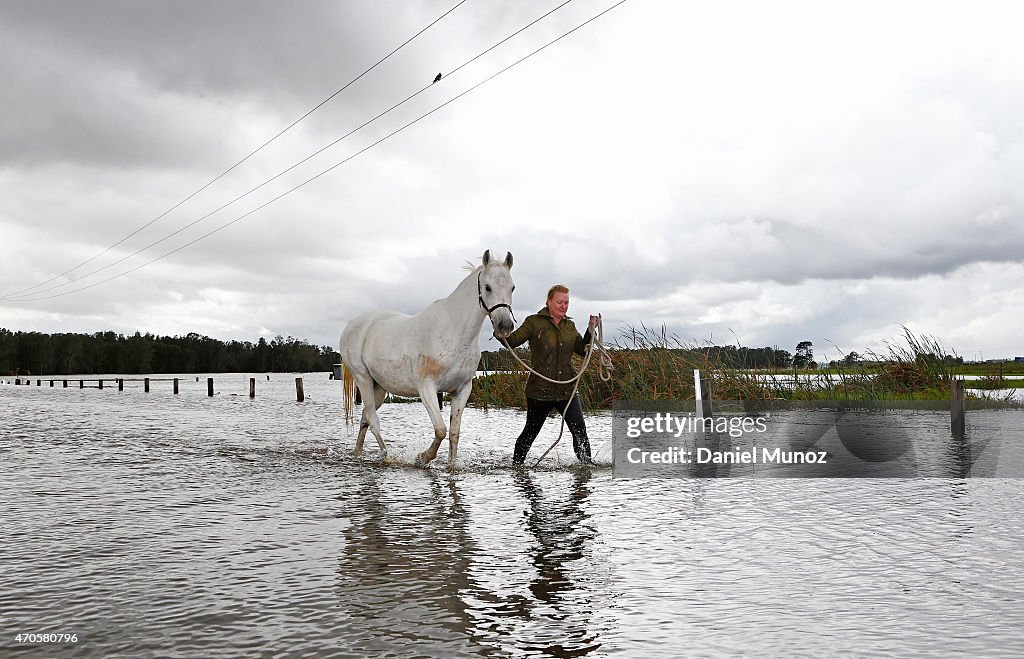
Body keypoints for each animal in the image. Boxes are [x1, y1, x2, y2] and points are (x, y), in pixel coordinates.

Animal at [339, 249, 516, 466]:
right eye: (487, 287)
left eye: (512, 288)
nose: (504, 327)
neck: (454, 332)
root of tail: (351, 324)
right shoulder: (427, 389)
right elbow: (440, 430)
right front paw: (422, 457)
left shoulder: (462, 390)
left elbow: (454, 433)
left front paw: (451, 466)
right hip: (362, 378)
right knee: (372, 419)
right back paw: (386, 456)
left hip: (378, 386)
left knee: (365, 416)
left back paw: (357, 454)